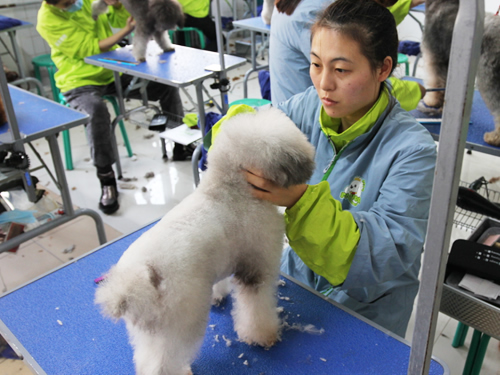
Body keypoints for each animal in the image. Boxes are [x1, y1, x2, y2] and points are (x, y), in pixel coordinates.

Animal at [94, 107, 316, 374]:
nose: (311, 163)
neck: (229, 190)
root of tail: (130, 285)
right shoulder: (256, 270)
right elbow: (256, 309)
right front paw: (263, 336)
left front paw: (219, 295)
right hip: (180, 322)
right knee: (164, 363)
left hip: (148, 329)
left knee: (147, 361)